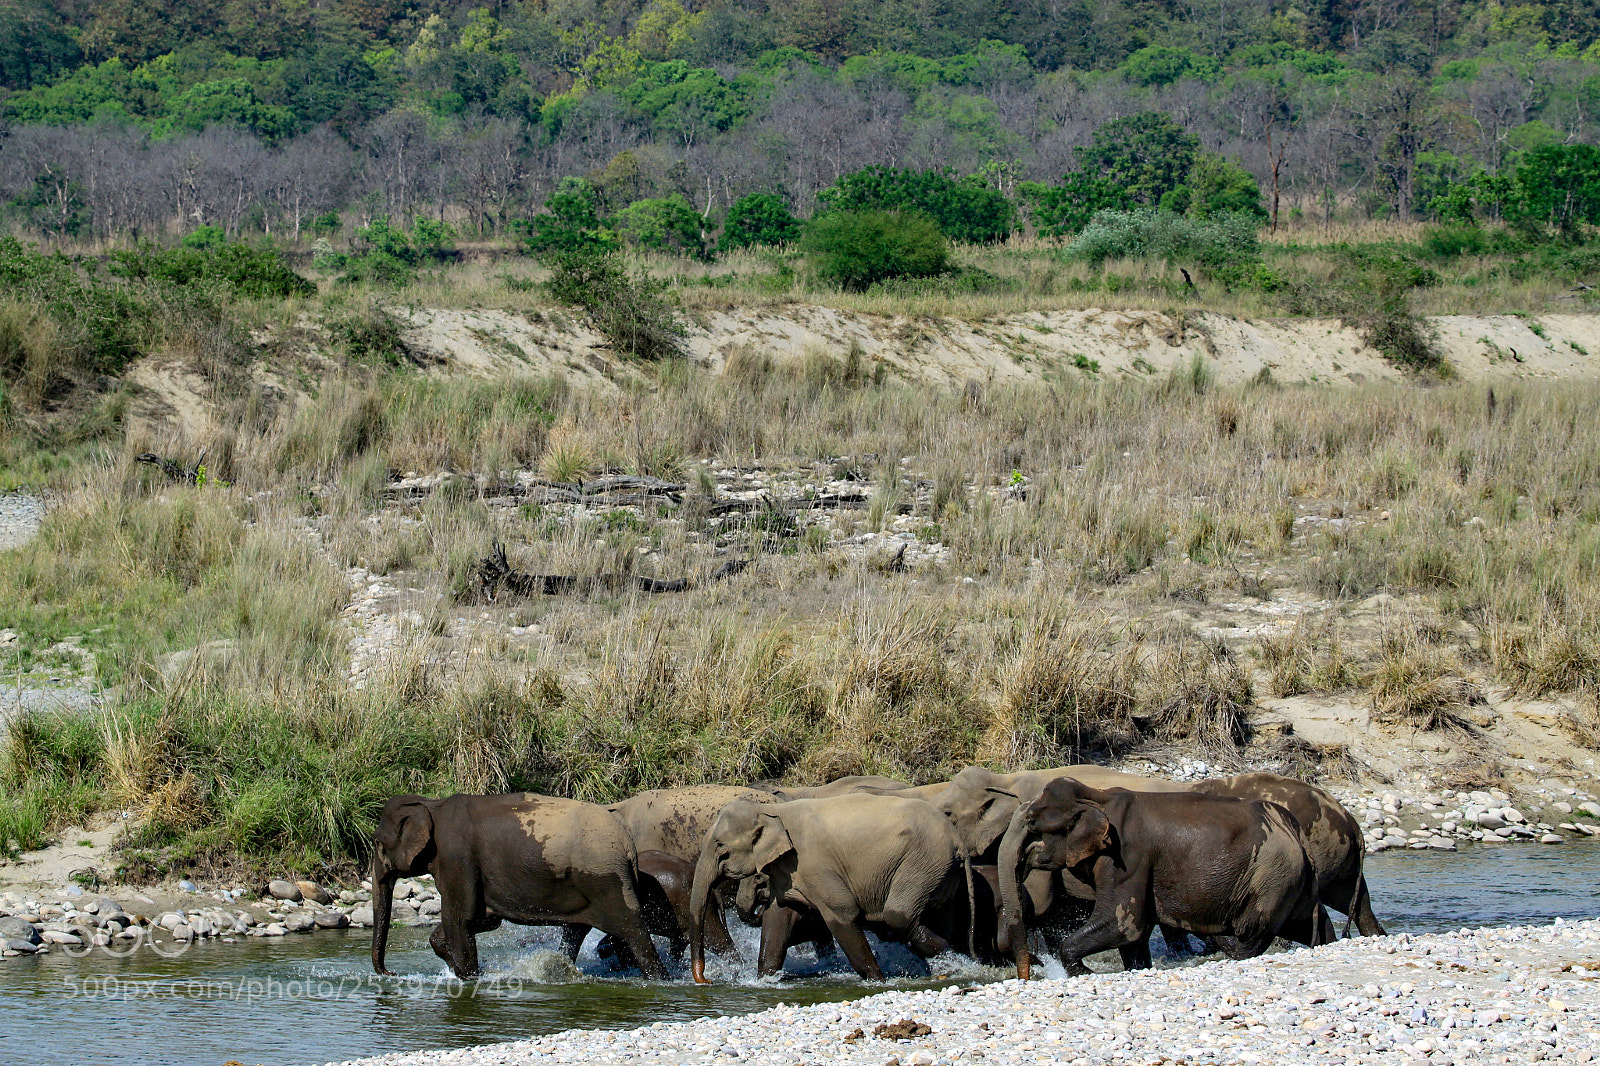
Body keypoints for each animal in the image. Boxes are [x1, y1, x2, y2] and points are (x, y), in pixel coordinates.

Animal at [370, 792, 666, 979]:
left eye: (377, 843)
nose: (391, 972)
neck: (431, 805)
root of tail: (629, 844)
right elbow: (483, 920)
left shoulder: (456, 857)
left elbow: (460, 920)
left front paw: (471, 978)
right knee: (576, 931)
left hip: (607, 882)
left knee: (634, 931)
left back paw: (659, 979)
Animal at [689, 794, 972, 982]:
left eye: (720, 847)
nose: (707, 979)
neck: (772, 809)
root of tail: (958, 839)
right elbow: (779, 917)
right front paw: (765, 979)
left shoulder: (815, 865)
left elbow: (843, 914)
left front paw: (877, 980)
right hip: (941, 872)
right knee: (938, 916)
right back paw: (949, 964)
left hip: (923, 862)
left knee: (898, 917)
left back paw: (950, 956)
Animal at [997, 779, 1333, 978]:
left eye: (1032, 824)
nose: (1029, 972)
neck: (1096, 797)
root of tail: (1296, 831)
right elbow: (1134, 938)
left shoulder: (1127, 858)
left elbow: (1124, 925)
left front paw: (1084, 972)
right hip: (1293, 881)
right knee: (1313, 925)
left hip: (1270, 878)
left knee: (1249, 936)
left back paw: (1224, 942)